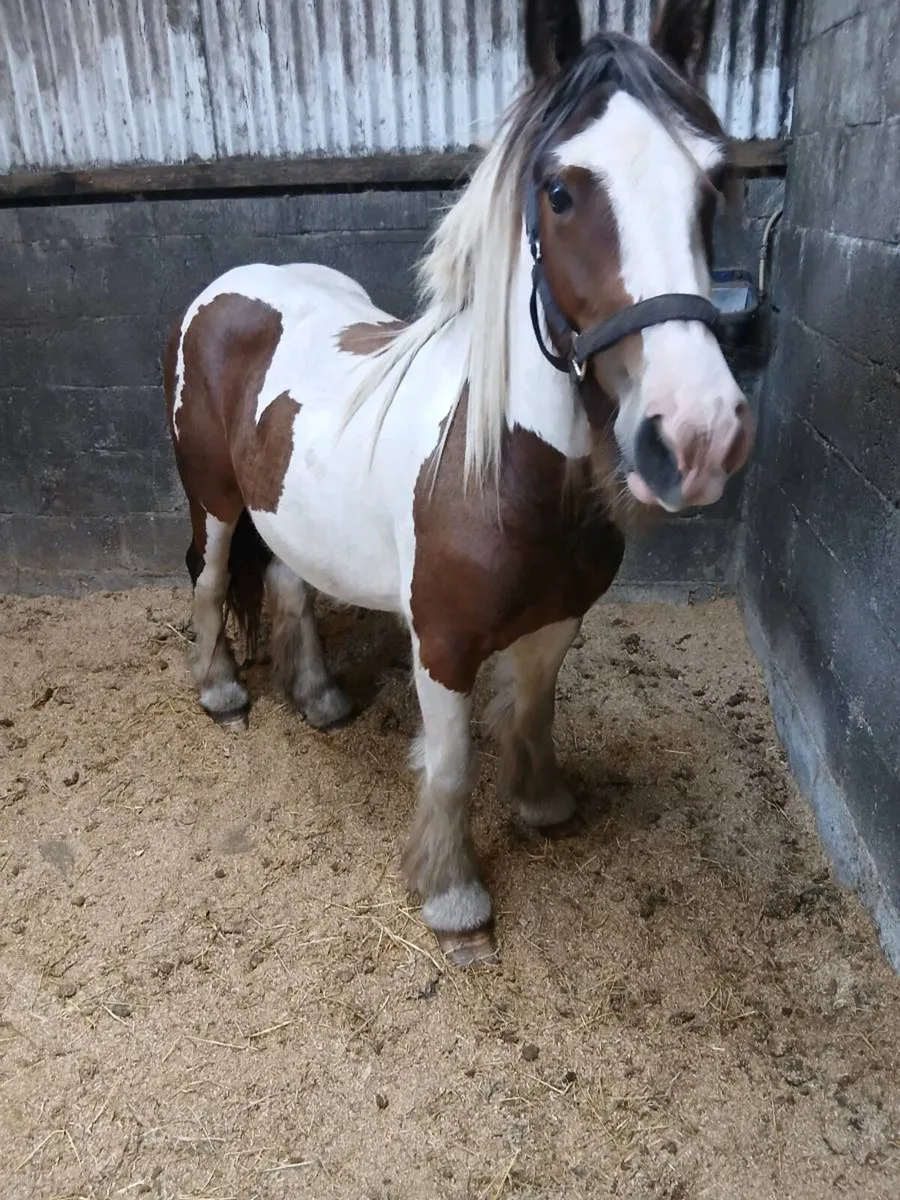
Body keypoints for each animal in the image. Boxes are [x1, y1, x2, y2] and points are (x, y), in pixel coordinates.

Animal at [163, 0, 753, 966]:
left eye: (712, 184)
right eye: (560, 191)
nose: (698, 435)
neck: (502, 465)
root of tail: (231, 288)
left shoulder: (557, 620)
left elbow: (533, 716)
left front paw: (544, 804)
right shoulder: (441, 643)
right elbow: (447, 763)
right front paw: (452, 898)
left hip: (287, 513)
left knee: (289, 585)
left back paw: (319, 700)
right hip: (213, 501)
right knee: (212, 582)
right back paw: (219, 693)